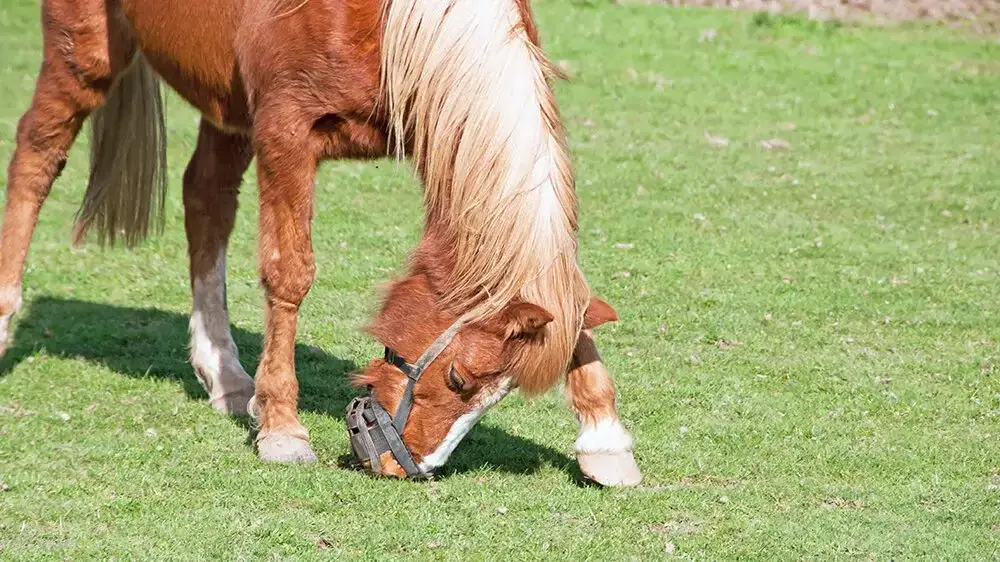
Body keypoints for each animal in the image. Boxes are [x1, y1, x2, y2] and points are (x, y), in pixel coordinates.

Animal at [0, 0, 642, 486]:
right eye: (460, 379)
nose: (401, 467)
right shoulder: (286, 131)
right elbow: (290, 273)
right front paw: (283, 428)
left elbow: (568, 298)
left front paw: (605, 440)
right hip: (83, 52)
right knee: (36, 156)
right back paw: (6, 317)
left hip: (225, 99)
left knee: (206, 200)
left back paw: (227, 373)